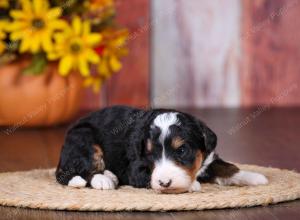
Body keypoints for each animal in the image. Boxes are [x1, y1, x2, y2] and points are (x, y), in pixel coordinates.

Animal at [55, 105, 268, 193]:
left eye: (181, 151)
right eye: (150, 154)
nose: (165, 182)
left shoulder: (208, 159)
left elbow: (228, 167)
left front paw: (254, 177)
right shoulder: (135, 169)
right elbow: (149, 177)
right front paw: (190, 185)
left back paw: (110, 175)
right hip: (84, 139)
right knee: (76, 170)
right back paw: (102, 180)